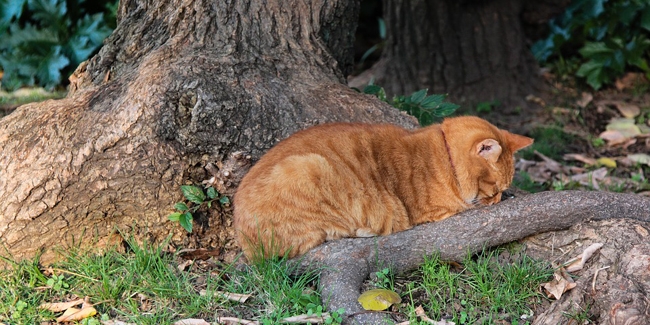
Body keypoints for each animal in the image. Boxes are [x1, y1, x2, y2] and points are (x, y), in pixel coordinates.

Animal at [233, 115, 532, 260]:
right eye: (494, 188)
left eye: (501, 189)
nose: (498, 201)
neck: (443, 153)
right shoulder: (439, 212)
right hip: (307, 166)